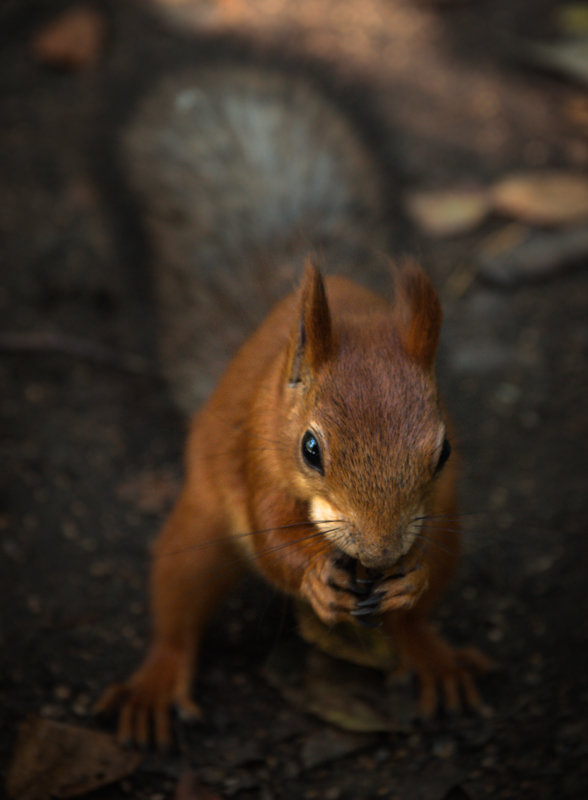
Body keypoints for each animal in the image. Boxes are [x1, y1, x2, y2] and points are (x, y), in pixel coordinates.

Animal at [96, 62, 492, 752]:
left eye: (444, 451)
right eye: (310, 449)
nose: (380, 554)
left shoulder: (440, 505)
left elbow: (424, 562)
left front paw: (408, 578)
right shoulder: (257, 458)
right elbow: (269, 538)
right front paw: (312, 577)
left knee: (416, 622)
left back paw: (432, 655)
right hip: (197, 534)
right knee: (178, 607)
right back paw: (156, 682)